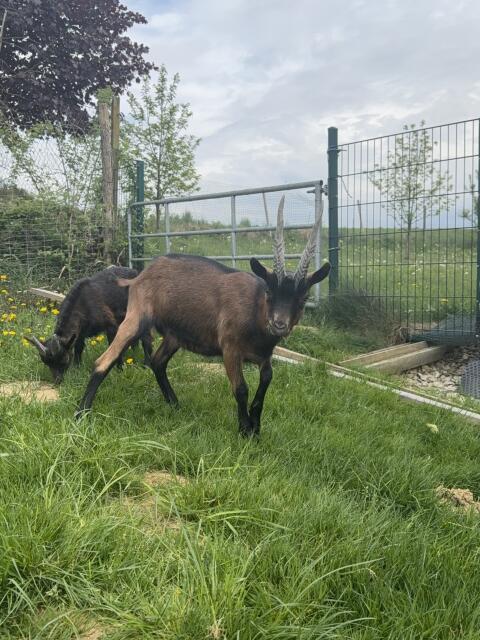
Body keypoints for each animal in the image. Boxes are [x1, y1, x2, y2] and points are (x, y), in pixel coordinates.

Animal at [76, 197, 330, 435]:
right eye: (269, 291)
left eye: (304, 298)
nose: (279, 324)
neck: (255, 312)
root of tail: (140, 275)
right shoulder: (230, 349)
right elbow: (241, 389)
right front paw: (245, 430)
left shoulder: (264, 356)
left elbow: (266, 382)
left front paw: (256, 427)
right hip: (136, 317)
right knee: (104, 361)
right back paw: (81, 414)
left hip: (174, 335)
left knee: (157, 362)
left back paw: (175, 404)